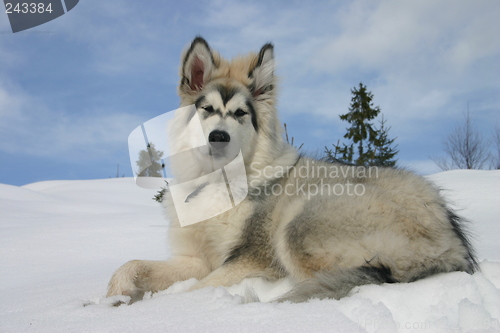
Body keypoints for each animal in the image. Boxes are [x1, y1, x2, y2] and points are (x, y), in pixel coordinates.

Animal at [106, 36, 476, 304]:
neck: (217, 182)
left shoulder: (252, 258)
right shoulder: (194, 260)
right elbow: (131, 264)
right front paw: (112, 297)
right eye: (206, 109)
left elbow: (197, 289)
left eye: (240, 114)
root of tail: (451, 241)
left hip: (300, 221)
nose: (219, 137)